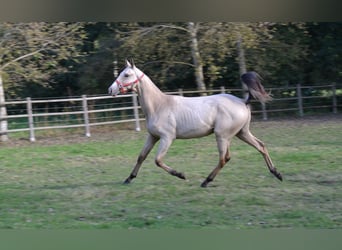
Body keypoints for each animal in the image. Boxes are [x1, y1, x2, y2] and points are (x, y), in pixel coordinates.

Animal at [108, 60, 282, 188]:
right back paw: (276, 173)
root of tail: (242, 101)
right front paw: (129, 178)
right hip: (242, 133)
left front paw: (181, 175)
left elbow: (158, 160)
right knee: (260, 146)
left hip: (222, 136)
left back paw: (206, 181)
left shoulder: (167, 138)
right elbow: (141, 156)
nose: (110, 90)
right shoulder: (153, 136)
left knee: (224, 158)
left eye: (126, 74)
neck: (159, 106)